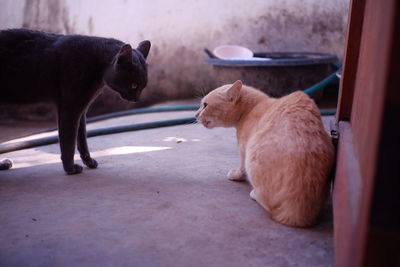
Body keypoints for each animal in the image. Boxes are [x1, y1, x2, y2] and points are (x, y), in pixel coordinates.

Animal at [0, 29, 150, 175]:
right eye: (134, 85)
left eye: (143, 85)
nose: (136, 99)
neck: (97, 67)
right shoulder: (70, 107)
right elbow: (69, 139)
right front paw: (70, 168)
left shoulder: (81, 108)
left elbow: (82, 136)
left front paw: (88, 161)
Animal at [196, 80, 334, 227]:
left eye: (205, 105)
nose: (195, 115)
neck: (252, 107)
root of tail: (298, 215)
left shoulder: (243, 148)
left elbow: (241, 167)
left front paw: (236, 175)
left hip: (252, 154)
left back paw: (254, 194)